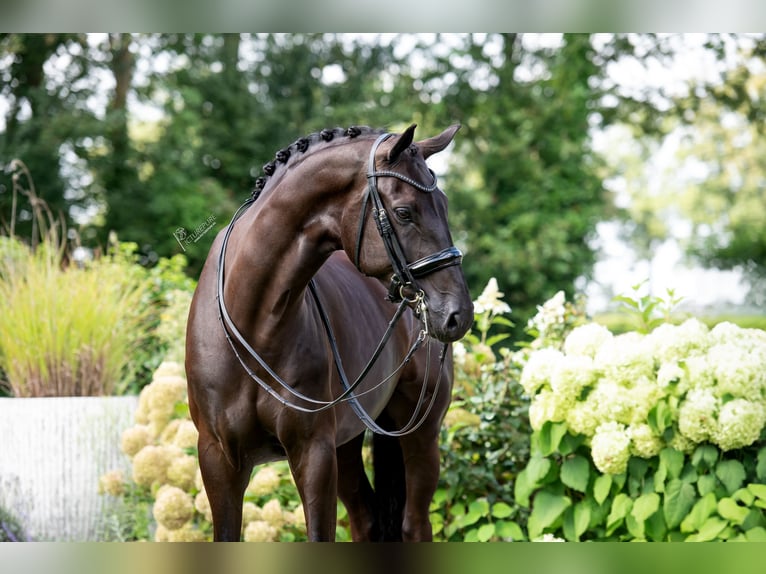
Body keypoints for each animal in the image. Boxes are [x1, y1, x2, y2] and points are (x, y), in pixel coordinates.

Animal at [186, 124, 474, 544]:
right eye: (404, 212)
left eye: (446, 206)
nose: (458, 314)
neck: (251, 324)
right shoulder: (218, 459)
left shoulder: (314, 453)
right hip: (348, 445)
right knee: (366, 519)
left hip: (421, 434)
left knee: (414, 525)